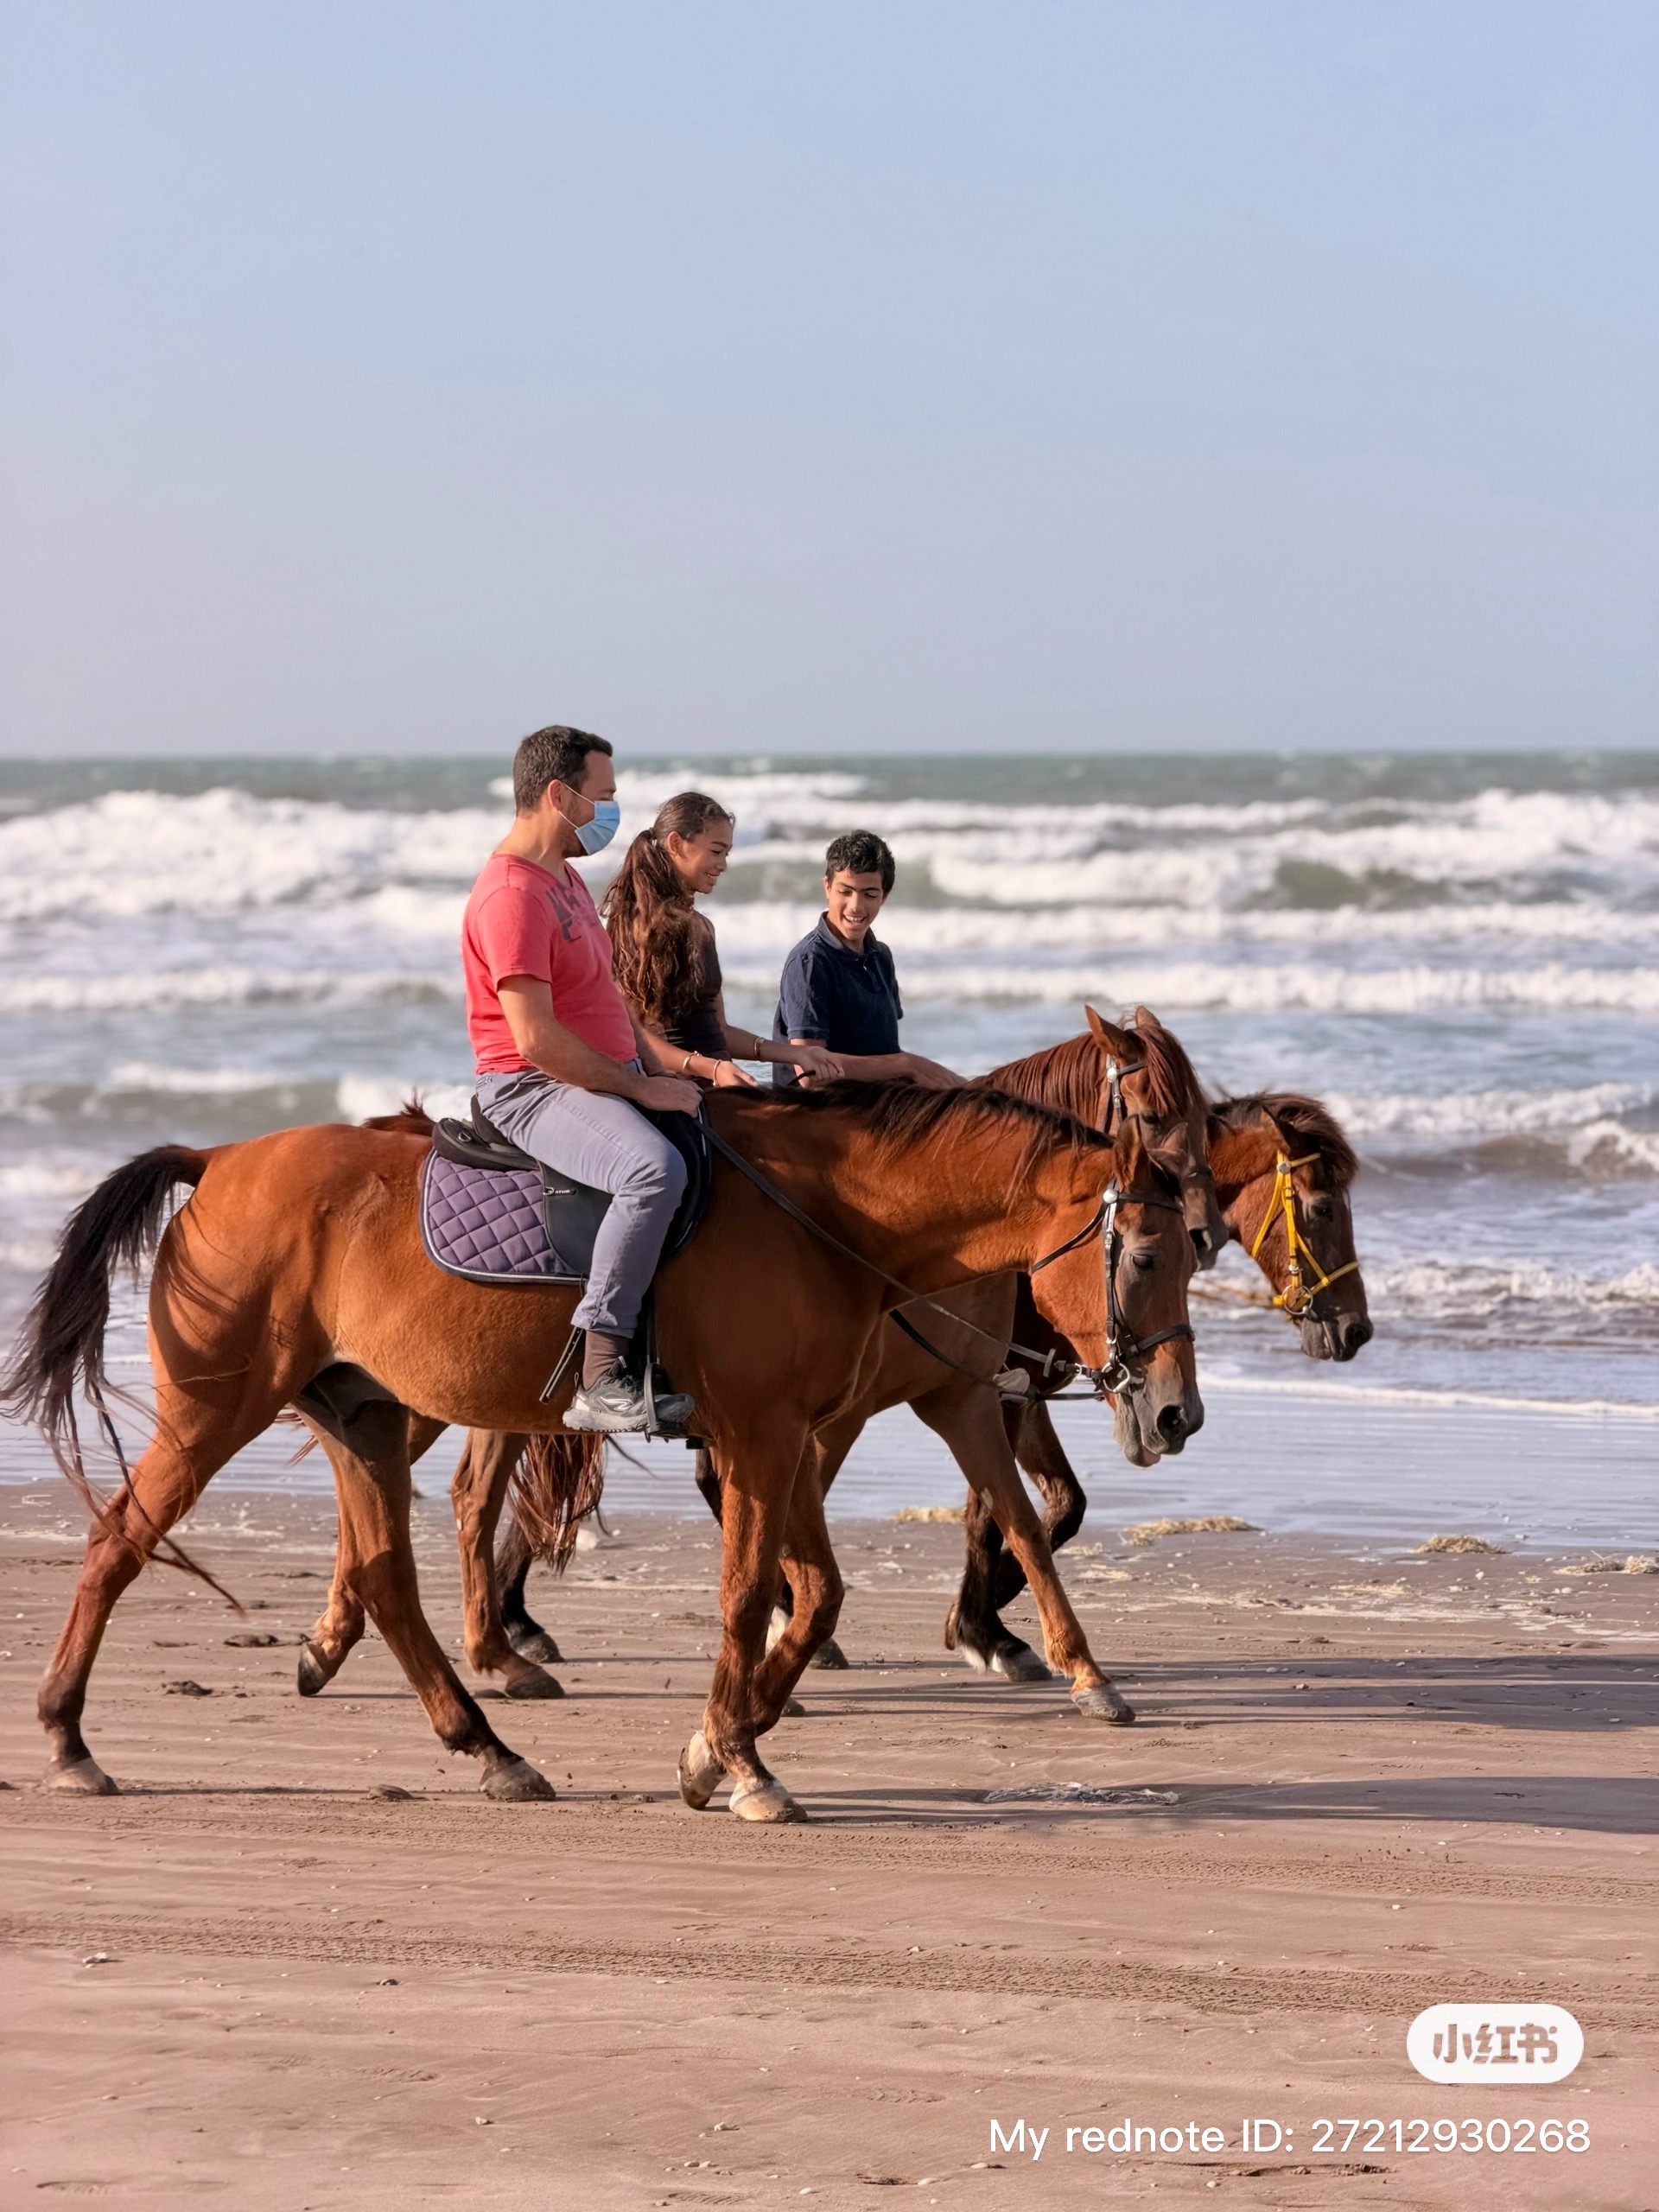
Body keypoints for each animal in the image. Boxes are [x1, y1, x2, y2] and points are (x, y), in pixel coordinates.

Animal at [3, 1081, 1197, 1821]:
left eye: (1196, 1250)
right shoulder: (767, 1435)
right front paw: (744, 1761)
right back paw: (66, 1738)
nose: (1178, 1414)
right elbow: (756, 1594)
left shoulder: (791, 1434)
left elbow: (814, 1595)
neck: (824, 1216)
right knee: (119, 1543)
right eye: (1143, 1256)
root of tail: (217, 1160)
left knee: (386, 1577)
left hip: (365, 1420)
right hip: (216, 1410)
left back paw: (485, 1744)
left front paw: (714, 1749)